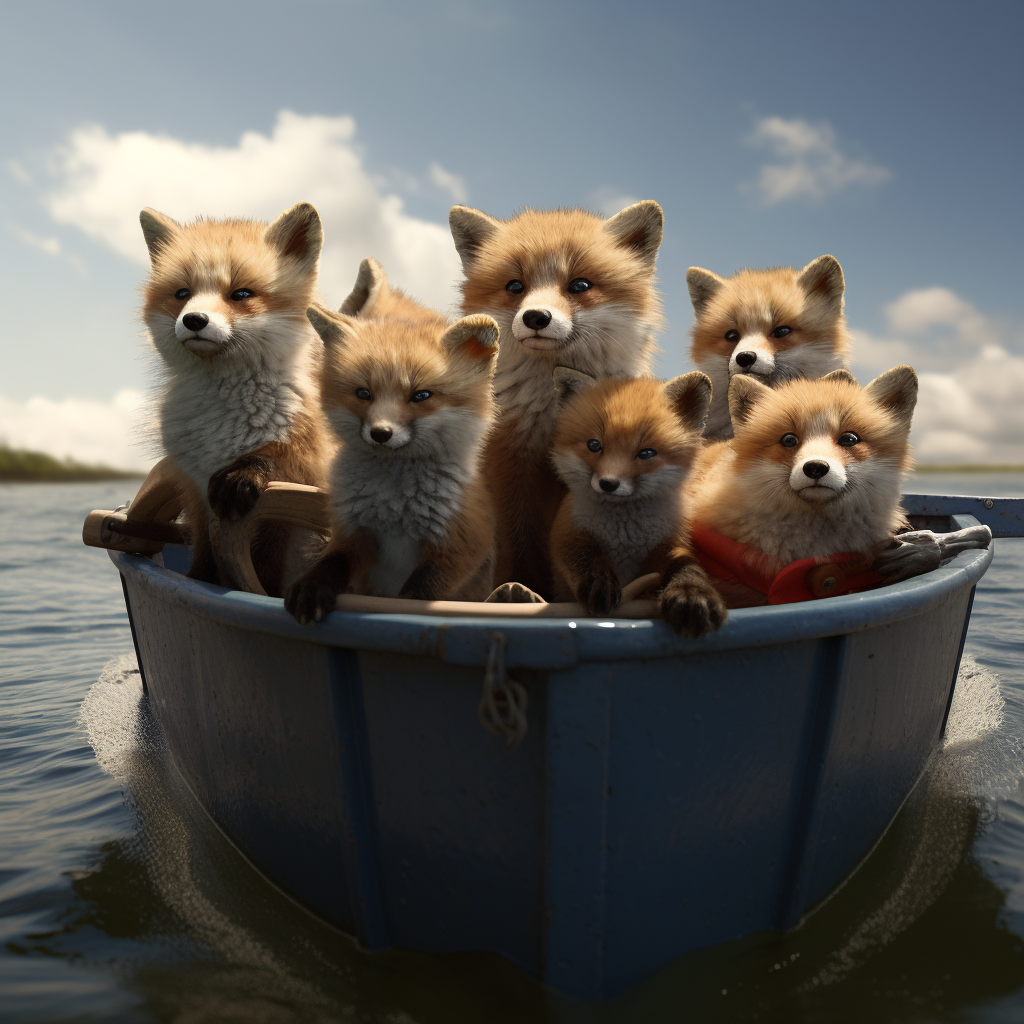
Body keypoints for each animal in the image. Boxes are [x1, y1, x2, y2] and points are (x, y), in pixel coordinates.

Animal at [140, 201, 329, 593]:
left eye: (240, 294)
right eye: (182, 294)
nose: (194, 320)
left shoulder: (298, 482)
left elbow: (268, 573)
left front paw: (245, 470)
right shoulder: (194, 491)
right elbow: (203, 562)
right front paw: (198, 582)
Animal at [284, 256, 499, 622]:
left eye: (420, 395)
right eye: (363, 393)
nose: (381, 433)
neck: (395, 509)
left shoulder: (458, 546)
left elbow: (415, 596)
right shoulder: (353, 532)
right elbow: (331, 562)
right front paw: (311, 587)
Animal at [448, 200, 663, 598]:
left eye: (579, 285)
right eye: (515, 286)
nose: (536, 317)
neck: (552, 413)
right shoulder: (510, 468)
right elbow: (521, 549)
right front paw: (520, 589)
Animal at [552, 364, 729, 634]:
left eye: (646, 453)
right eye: (594, 445)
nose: (608, 484)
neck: (625, 539)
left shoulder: (671, 542)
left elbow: (686, 565)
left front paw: (692, 593)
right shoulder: (567, 531)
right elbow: (583, 554)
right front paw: (600, 581)